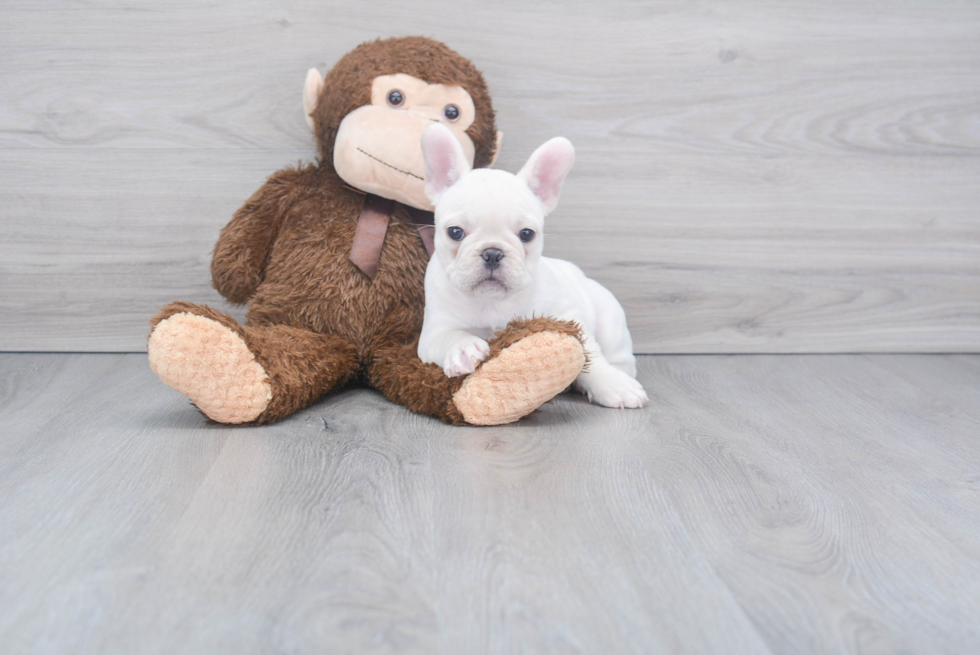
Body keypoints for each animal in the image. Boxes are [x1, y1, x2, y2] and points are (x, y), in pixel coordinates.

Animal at [416, 123, 652, 410]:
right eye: (455, 232)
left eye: (527, 234)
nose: (492, 252)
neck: (492, 302)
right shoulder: (433, 332)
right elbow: (448, 337)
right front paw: (463, 348)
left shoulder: (568, 316)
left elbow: (590, 354)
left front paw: (611, 384)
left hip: (610, 321)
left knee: (620, 357)